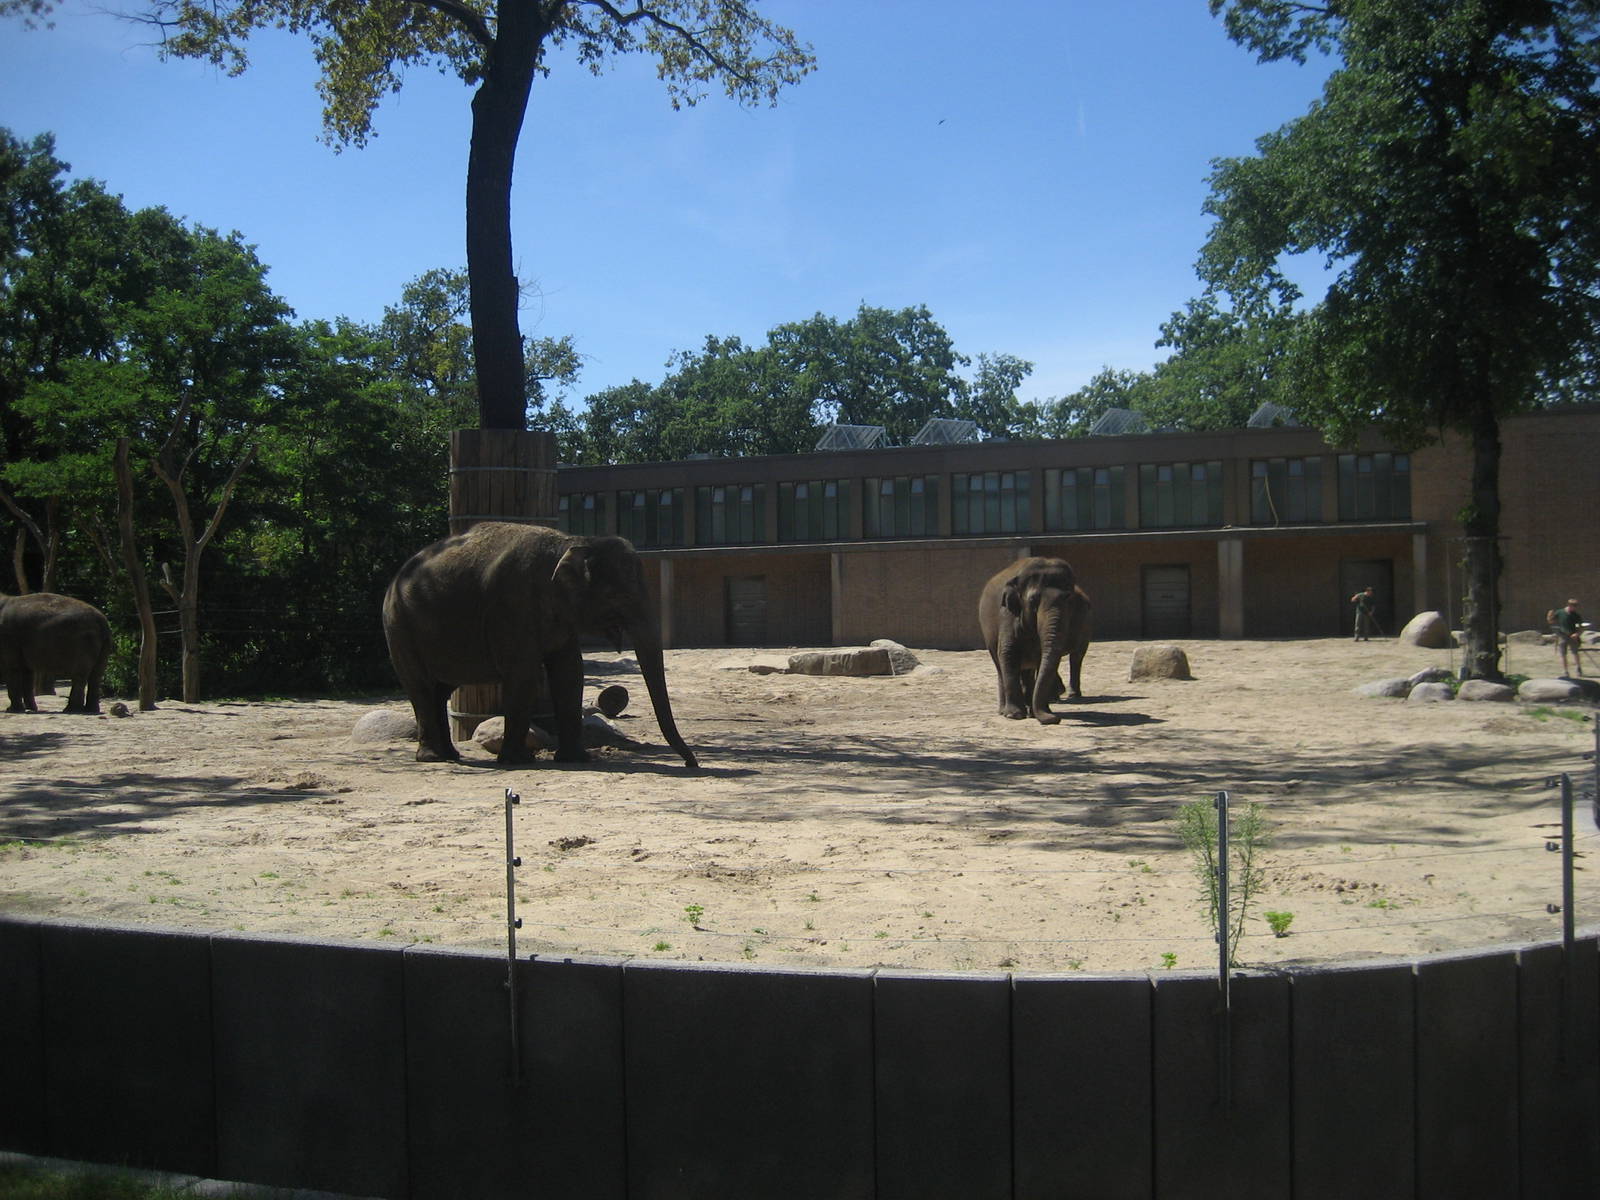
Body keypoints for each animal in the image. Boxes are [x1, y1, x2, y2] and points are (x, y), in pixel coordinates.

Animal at [382, 522, 697, 768]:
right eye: (614, 596)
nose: (691, 763)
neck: (574, 541)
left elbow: (570, 672)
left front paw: (575, 759)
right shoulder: (512, 605)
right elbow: (524, 673)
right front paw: (519, 760)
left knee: (440, 688)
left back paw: (451, 755)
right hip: (399, 628)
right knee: (421, 686)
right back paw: (433, 758)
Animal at [977, 557, 1091, 724]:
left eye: (1069, 598)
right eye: (1033, 600)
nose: (1055, 719)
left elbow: (1041, 657)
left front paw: (1041, 712)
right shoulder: (1007, 614)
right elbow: (1008, 652)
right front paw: (1014, 715)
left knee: (1074, 657)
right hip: (988, 633)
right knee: (1000, 665)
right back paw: (1003, 711)